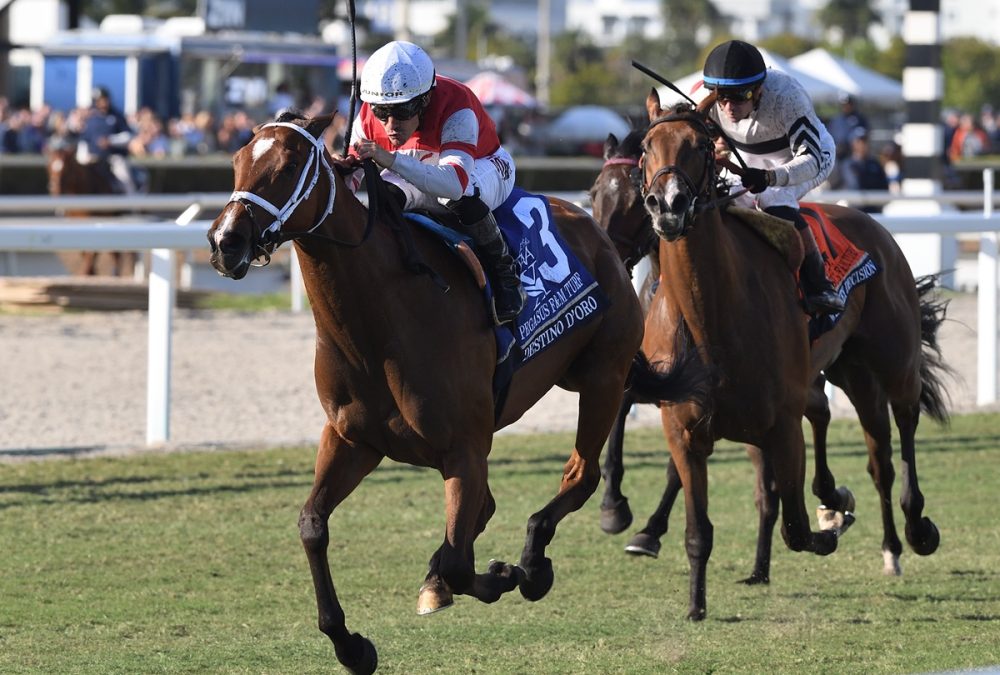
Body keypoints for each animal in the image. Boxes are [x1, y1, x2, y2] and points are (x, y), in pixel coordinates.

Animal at [46, 140, 136, 277]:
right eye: (49, 166)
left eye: (67, 168)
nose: (54, 189)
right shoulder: (76, 223)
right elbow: (83, 249)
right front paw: (91, 270)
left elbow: (92, 250)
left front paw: (88, 271)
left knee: (116, 253)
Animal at [206, 110, 707, 673]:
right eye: (237, 161)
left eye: (290, 165)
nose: (225, 241)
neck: (380, 319)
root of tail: (597, 234)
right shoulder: (353, 439)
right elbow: (314, 525)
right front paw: (351, 645)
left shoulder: (463, 450)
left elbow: (461, 561)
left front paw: (509, 574)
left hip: (602, 374)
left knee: (581, 475)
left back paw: (537, 560)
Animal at [594, 91, 950, 621]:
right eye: (643, 158)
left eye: (702, 146)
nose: (669, 206)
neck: (712, 316)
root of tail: (874, 226)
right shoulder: (681, 411)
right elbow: (701, 519)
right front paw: (654, 550)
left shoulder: (779, 420)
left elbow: (796, 525)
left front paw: (833, 518)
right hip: (848, 370)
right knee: (862, 450)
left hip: (892, 362)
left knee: (899, 433)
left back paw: (909, 533)